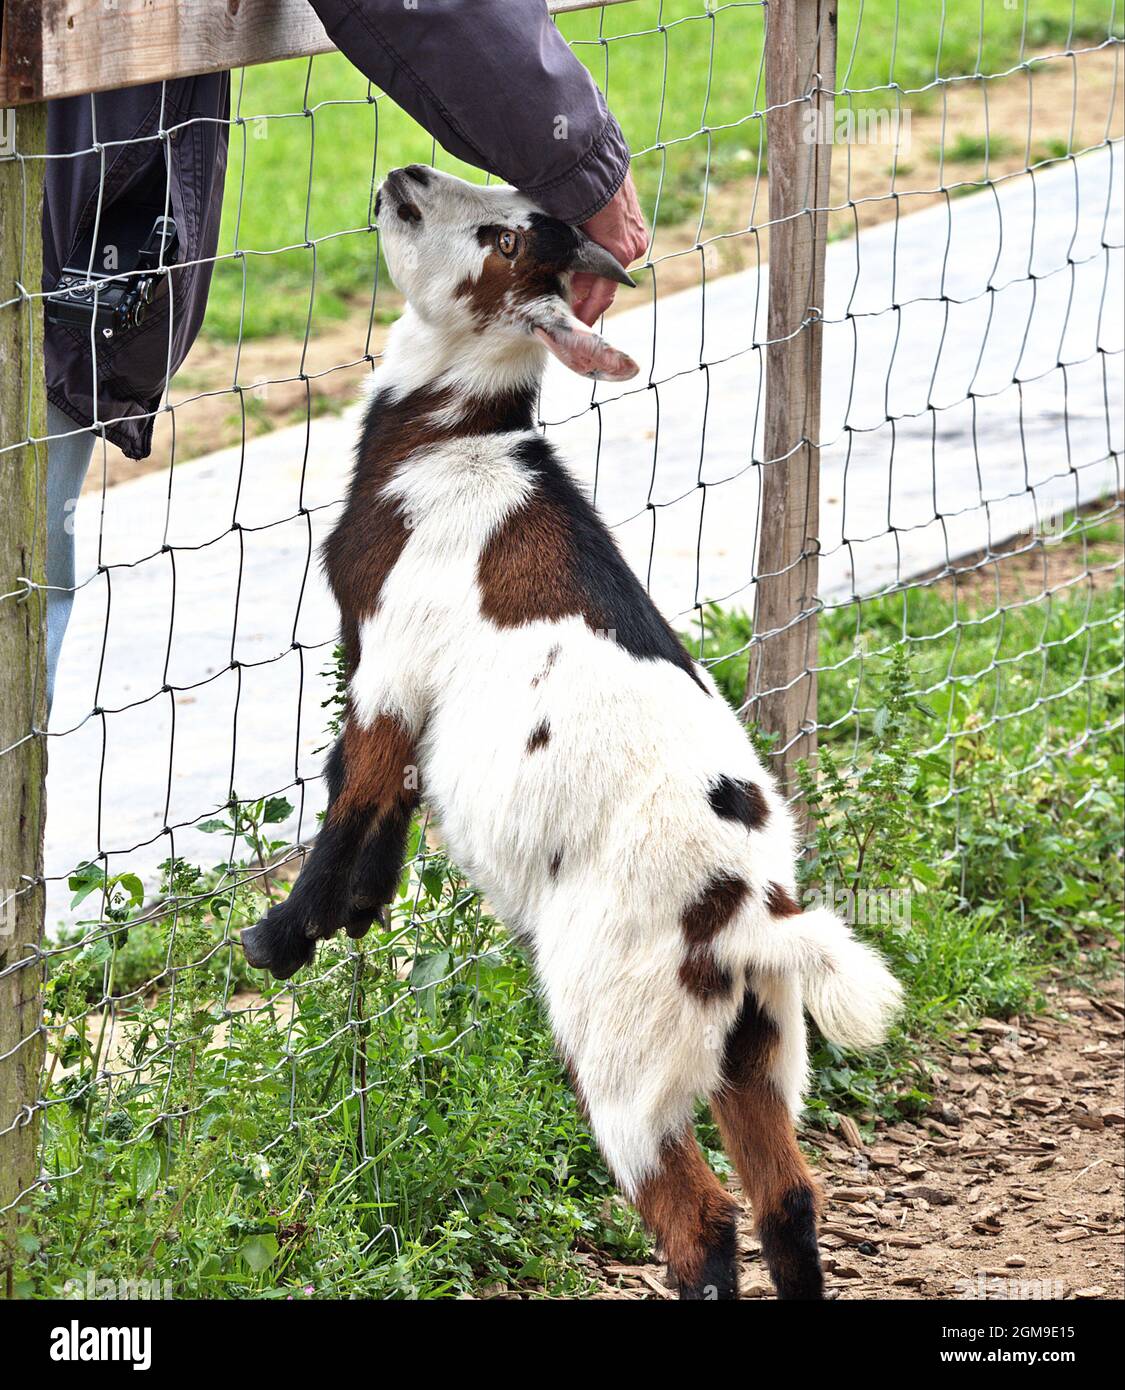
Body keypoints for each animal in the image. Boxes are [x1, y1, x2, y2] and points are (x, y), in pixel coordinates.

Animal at [241, 165, 902, 1300]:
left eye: (500, 234)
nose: (404, 179)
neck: (454, 444)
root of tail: (751, 915)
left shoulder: (388, 662)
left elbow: (355, 792)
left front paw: (287, 938)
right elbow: (385, 800)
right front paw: (362, 911)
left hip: (625, 1045)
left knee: (699, 1219)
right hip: (758, 1045)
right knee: (788, 1198)